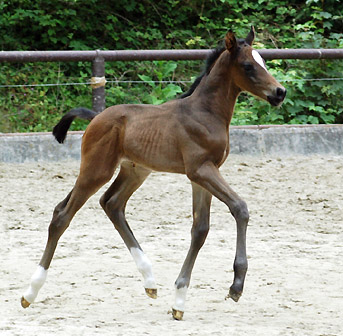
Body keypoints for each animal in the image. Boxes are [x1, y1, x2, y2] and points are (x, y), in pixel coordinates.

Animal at [20, 27, 286, 318]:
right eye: (248, 66)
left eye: (263, 62)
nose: (280, 92)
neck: (205, 113)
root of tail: (95, 118)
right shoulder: (201, 170)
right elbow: (239, 208)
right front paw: (235, 286)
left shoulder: (202, 175)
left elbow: (200, 229)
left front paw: (179, 300)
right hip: (97, 169)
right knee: (63, 216)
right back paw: (29, 293)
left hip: (134, 171)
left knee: (111, 204)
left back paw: (150, 281)